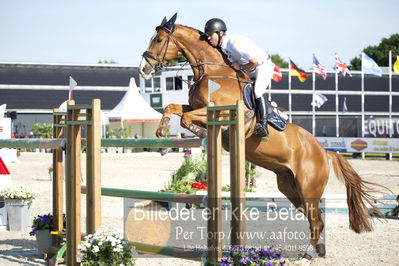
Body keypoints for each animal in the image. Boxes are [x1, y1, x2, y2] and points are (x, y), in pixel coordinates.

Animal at [139, 14, 386, 258]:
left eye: (158, 40)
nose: (143, 69)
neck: (212, 71)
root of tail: (324, 151)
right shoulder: (195, 106)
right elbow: (172, 108)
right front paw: (162, 137)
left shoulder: (219, 112)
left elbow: (185, 118)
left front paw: (201, 135)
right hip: (290, 187)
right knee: (315, 220)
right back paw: (318, 251)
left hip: (308, 188)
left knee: (316, 221)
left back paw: (306, 255)